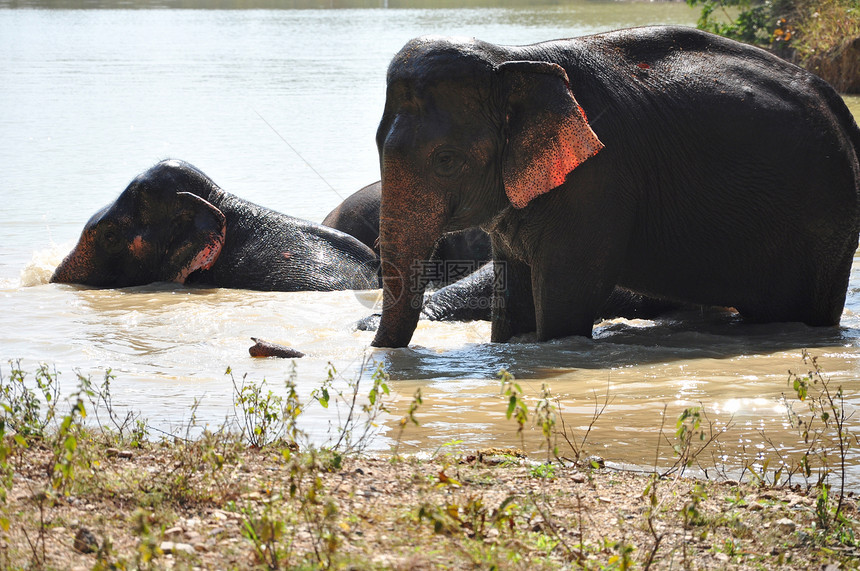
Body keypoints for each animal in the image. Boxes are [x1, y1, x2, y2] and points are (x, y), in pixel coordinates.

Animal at [372, 25, 860, 348]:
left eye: (446, 161)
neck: (514, 57)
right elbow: (512, 300)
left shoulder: (598, 182)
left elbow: (566, 300)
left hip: (825, 225)